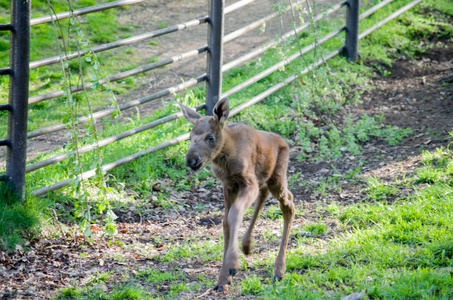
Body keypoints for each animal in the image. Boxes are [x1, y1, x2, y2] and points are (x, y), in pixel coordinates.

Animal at [178, 99, 294, 292]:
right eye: (190, 136)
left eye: (210, 137)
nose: (191, 160)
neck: (225, 158)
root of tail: (283, 141)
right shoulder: (229, 185)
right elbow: (226, 223)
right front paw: (223, 279)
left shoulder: (248, 182)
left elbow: (235, 215)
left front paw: (232, 265)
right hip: (263, 179)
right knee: (264, 196)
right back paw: (247, 245)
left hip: (276, 178)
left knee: (288, 204)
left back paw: (279, 270)